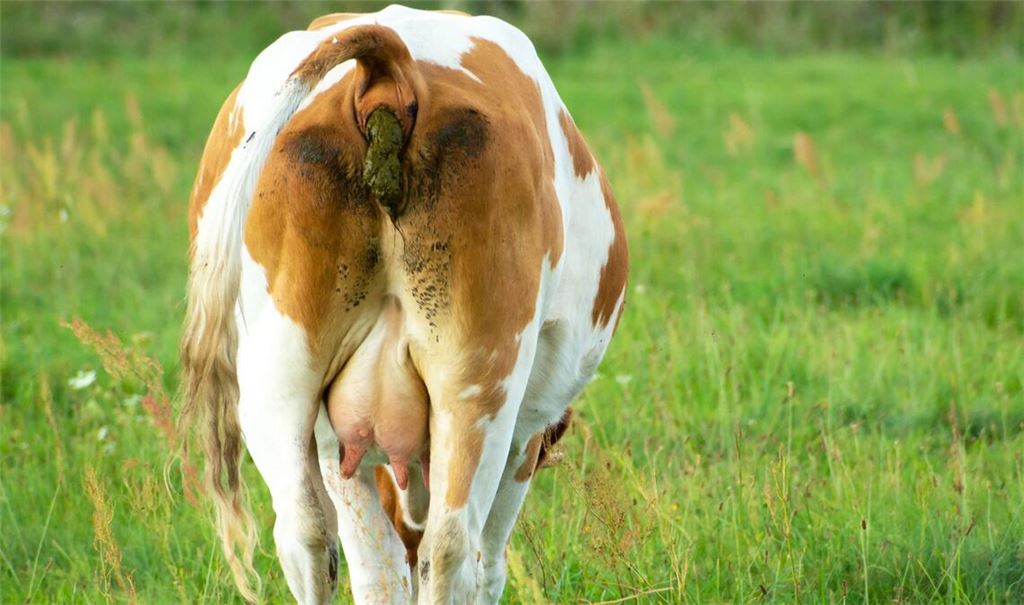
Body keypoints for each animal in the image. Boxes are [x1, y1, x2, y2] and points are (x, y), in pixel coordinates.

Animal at [180, 5, 627, 604]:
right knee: (452, 549)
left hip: (273, 381)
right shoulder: (528, 431)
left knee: (307, 539)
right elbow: (487, 562)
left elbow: (377, 568)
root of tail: (388, 66)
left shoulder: (334, 444)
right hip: (481, 384)